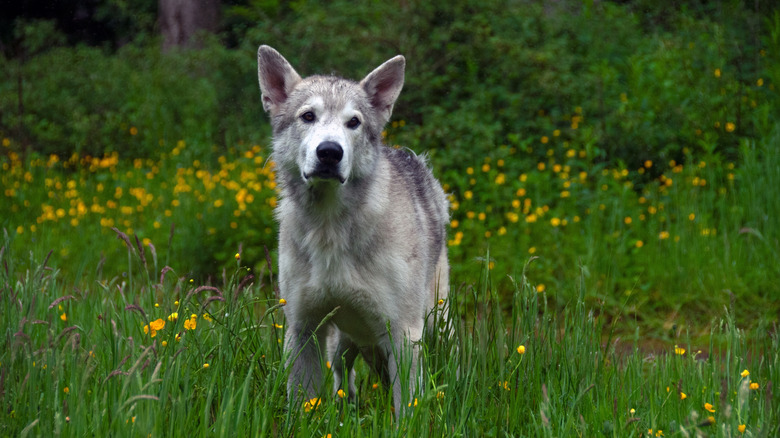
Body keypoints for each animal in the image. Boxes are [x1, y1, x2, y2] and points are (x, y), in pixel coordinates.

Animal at [258, 45, 450, 418]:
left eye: (354, 122)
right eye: (308, 117)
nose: (330, 152)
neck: (329, 225)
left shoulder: (404, 335)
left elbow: (405, 412)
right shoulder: (303, 327)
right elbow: (303, 406)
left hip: (436, 325)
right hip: (341, 345)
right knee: (342, 379)